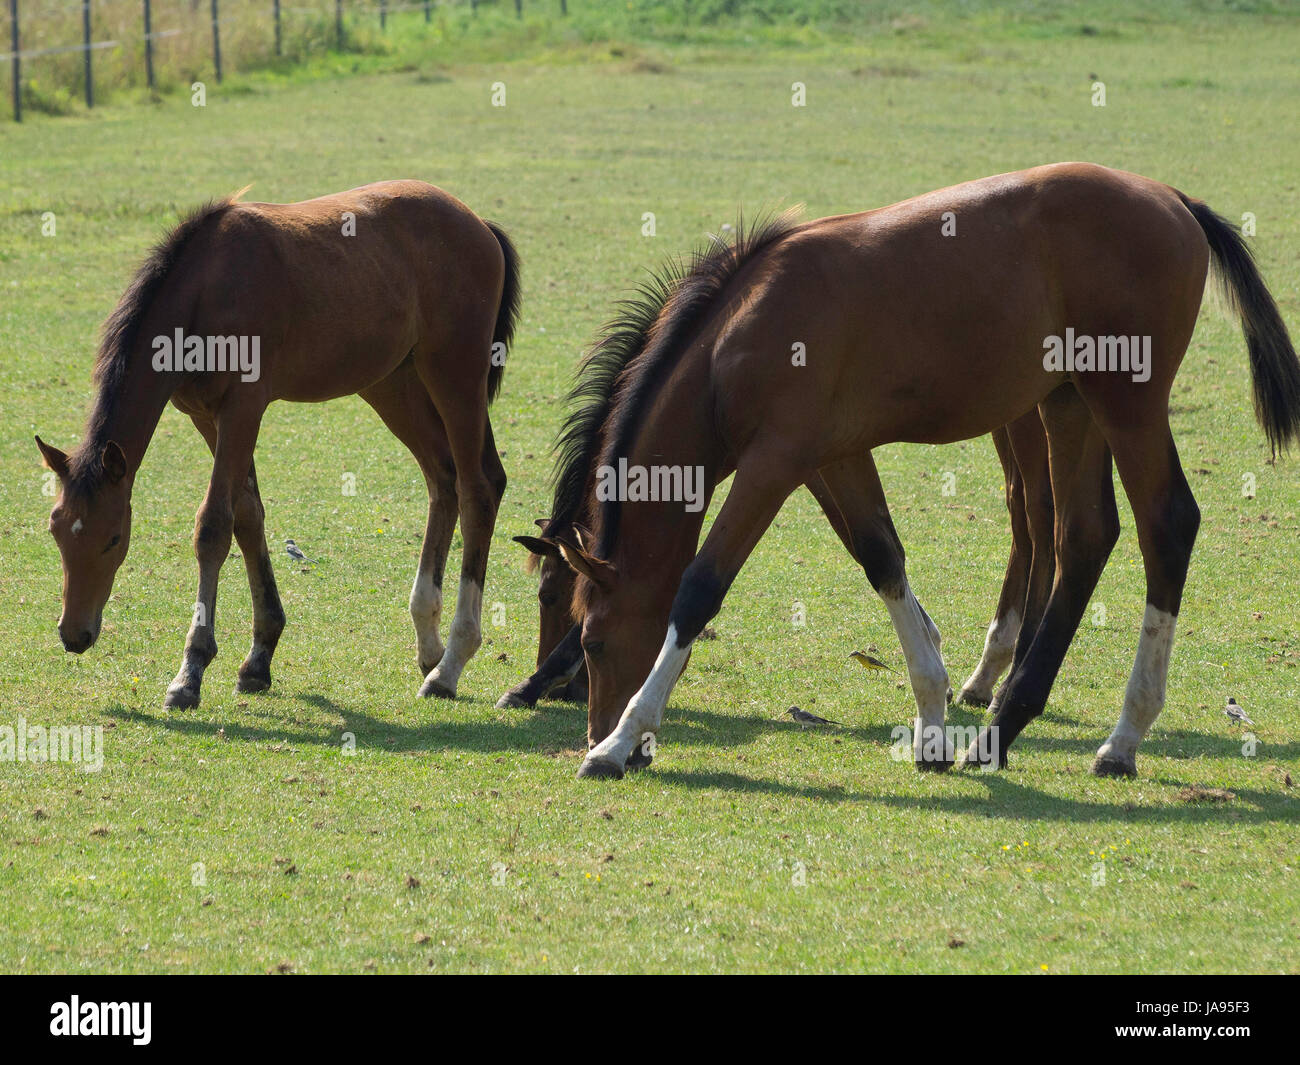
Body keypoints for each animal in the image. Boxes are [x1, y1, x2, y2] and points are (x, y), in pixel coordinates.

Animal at [36, 180, 520, 709]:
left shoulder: (243, 408)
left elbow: (214, 526)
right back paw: (430, 646)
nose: (73, 635)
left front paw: (190, 672)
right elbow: (248, 516)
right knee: (443, 479)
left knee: (479, 489)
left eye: (113, 539)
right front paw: (258, 658)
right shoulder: (206, 416)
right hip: (395, 383)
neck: (205, 290)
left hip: (455, 375)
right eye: (56, 531)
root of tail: (477, 224)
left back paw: (450, 665)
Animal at [526, 163, 1300, 781]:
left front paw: (617, 743)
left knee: (1166, 525)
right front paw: (931, 719)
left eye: (591, 640)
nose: (592, 729)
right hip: (1068, 404)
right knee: (1083, 536)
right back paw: (1000, 729)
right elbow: (882, 559)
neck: (736, 336)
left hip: (1126, 403)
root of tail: (1174, 200)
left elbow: (699, 589)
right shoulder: (832, 457)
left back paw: (1123, 735)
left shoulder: (772, 463)